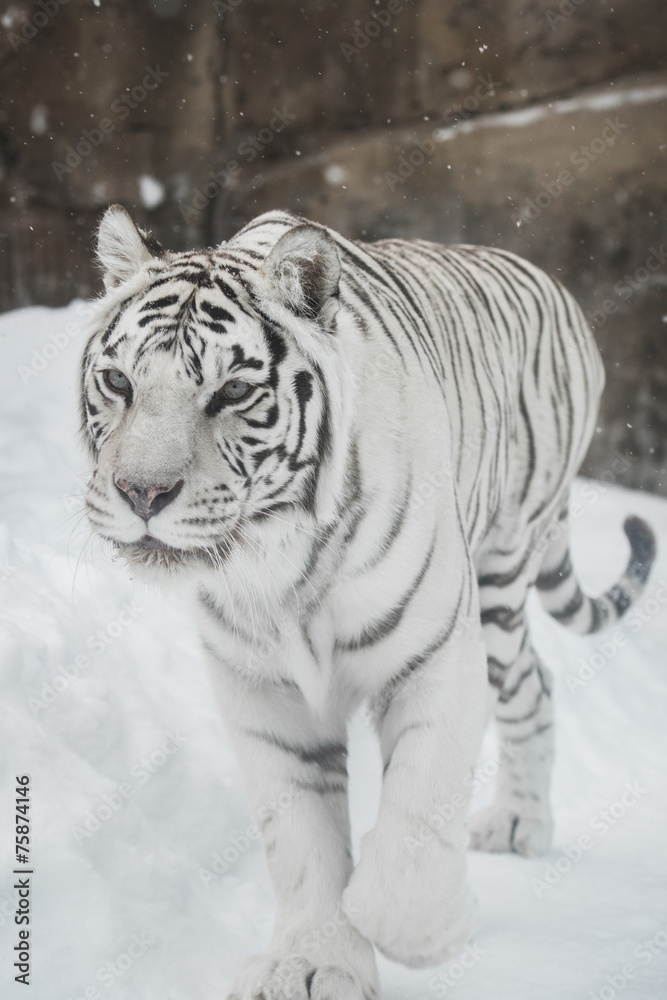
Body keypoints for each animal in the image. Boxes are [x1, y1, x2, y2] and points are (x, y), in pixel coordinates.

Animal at [81, 204, 656, 1000]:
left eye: (232, 393)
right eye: (117, 381)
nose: (141, 493)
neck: (276, 557)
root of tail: (547, 279)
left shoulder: (435, 655)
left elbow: (415, 815)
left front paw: (423, 931)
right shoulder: (261, 691)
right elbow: (300, 839)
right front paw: (313, 962)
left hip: (502, 575)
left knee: (527, 684)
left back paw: (519, 827)